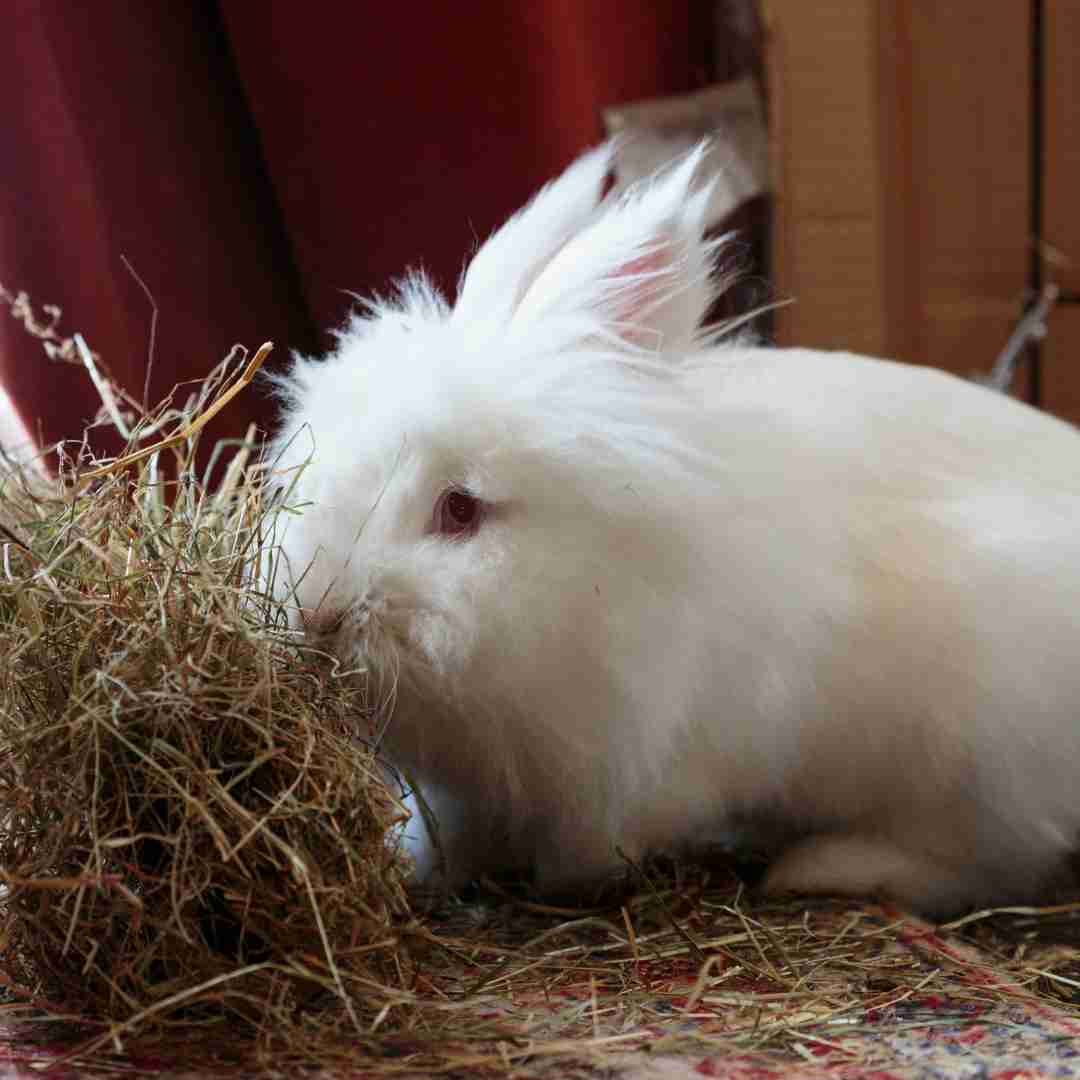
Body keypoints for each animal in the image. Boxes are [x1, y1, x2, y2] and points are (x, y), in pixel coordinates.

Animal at [267, 143, 1080, 915]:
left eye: (460, 509)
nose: (317, 613)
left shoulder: (635, 765)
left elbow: (591, 848)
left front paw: (559, 882)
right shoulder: (465, 787)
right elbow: (445, 834)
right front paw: (416, 869)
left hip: (976, 760)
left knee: (979, 864)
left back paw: (814, 868)